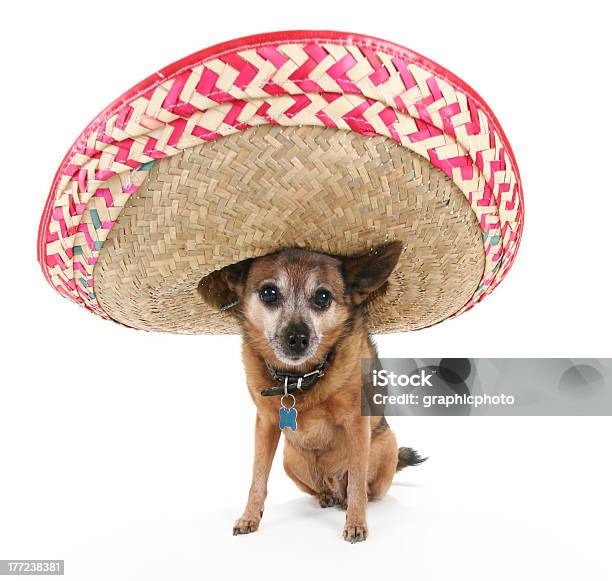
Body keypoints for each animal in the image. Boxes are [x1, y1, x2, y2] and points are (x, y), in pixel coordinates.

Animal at [206, 240, 426, 540]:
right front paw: (250, 516)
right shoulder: (265, 425)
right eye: (269, 293)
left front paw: (356, 522)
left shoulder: (357, 425)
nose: (297, 338)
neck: (298, 379)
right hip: (290, 458)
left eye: (322, 297)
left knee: (362, 488)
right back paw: (326, 496)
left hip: (386, 444)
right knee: (323, 489)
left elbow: (357, 481)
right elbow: (258, 478)